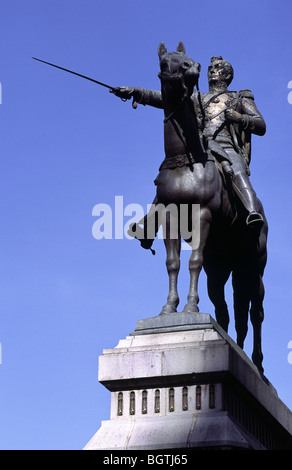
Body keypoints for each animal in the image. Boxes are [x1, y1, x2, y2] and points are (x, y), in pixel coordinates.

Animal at [135, 42, 266, 372]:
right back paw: (236, 346)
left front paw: (191, 307)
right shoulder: (170, 216)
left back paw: (257, 364)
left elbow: (193, 260)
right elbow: (173, 263)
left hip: (253, 267)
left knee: (256, 312)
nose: (193, 67)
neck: (186, 159)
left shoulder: (202, 214)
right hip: (221, 267)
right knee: (226, 307)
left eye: (186, 59)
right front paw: (169, 309)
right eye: (165, 62)